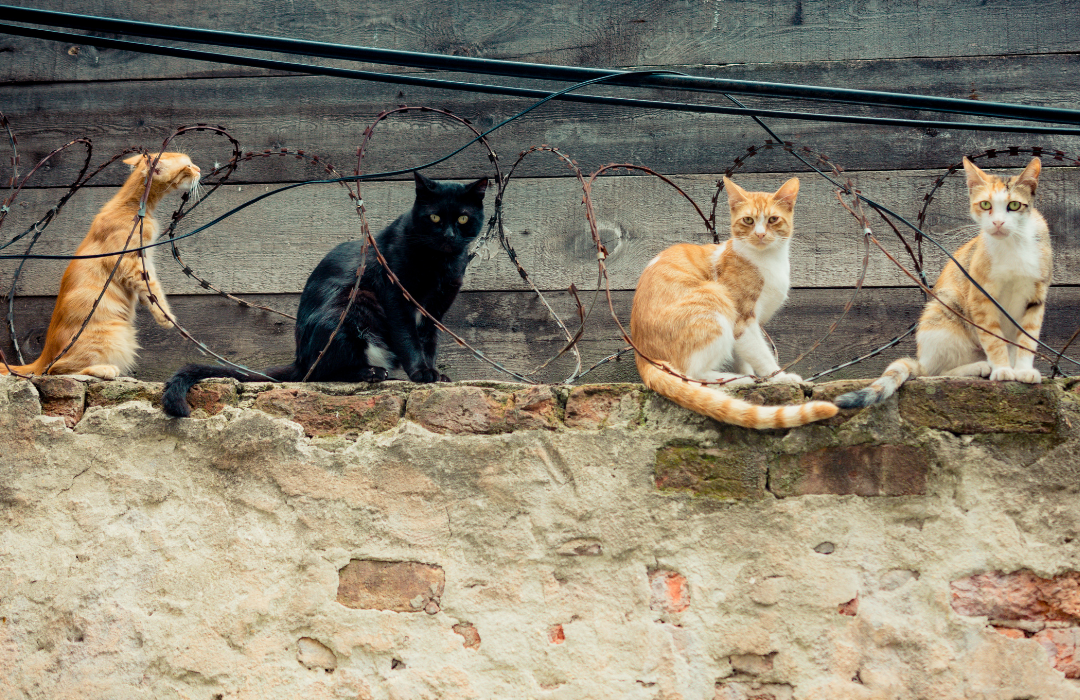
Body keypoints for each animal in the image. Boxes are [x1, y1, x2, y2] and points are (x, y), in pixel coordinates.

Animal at [0, 151, 200, 380]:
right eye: (188, 166)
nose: (199, 169)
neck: (132, 206)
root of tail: (44, 355)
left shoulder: (145, 259)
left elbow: (149, 289)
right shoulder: (130, 262)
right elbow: (152, 289)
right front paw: (165, 317)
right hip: (114, 334)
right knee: (55, 370)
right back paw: (104, 370)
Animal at [162, 171, 488, 419]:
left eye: (462, 219)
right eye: (434, 217)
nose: (449, 235)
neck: (440, 264)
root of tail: (300, 357)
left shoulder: (436, 310)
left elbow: (429, 342)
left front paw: (435, 374)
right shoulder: (396, 298)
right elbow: (409, 338)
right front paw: (422, 373)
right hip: (352, 304)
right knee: (322, 371)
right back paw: (370, 373)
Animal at [630, 175, 838, 429]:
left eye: (773, 219)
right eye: (748, 220)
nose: (760, 234)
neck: (769, 261)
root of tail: (643, 357)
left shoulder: (748, 327)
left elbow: (745, 355)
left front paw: (756, 374)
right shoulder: (742, 320)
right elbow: (762, 354)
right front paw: (779, 377)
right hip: (715, 301)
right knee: (691, 374)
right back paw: (733, 379)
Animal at [833, 155, 1054, 408]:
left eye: (1014, 206)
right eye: (985, 205)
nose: (998, 223)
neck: (1012, 246)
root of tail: (921, 359)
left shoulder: (1036, 296)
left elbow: (1027, 338)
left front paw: (1024, 370)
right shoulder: (980, 298)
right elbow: (993, 338)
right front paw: (1002, 369)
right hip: (947, 307)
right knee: (934, 373)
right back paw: (982, 367)